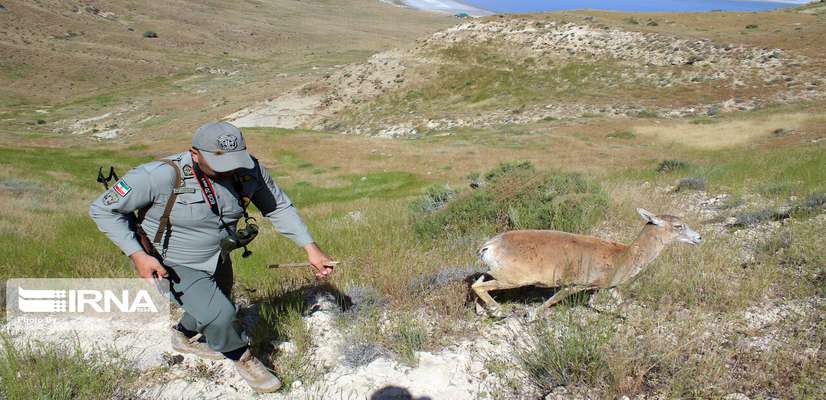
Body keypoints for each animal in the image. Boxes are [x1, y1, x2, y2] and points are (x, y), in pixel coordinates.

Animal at [470, 208, 700, 320]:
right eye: (678, 226)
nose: (699, 237)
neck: (624, 256)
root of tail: (488, 245)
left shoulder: (607, 286)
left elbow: (619, 304)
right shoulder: (576, 284)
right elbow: (553, 300)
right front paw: (532, 315)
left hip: (498, 272)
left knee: (479, 281)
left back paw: (484, 311)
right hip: (513, 278)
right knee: (478, 285)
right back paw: (499, 311)